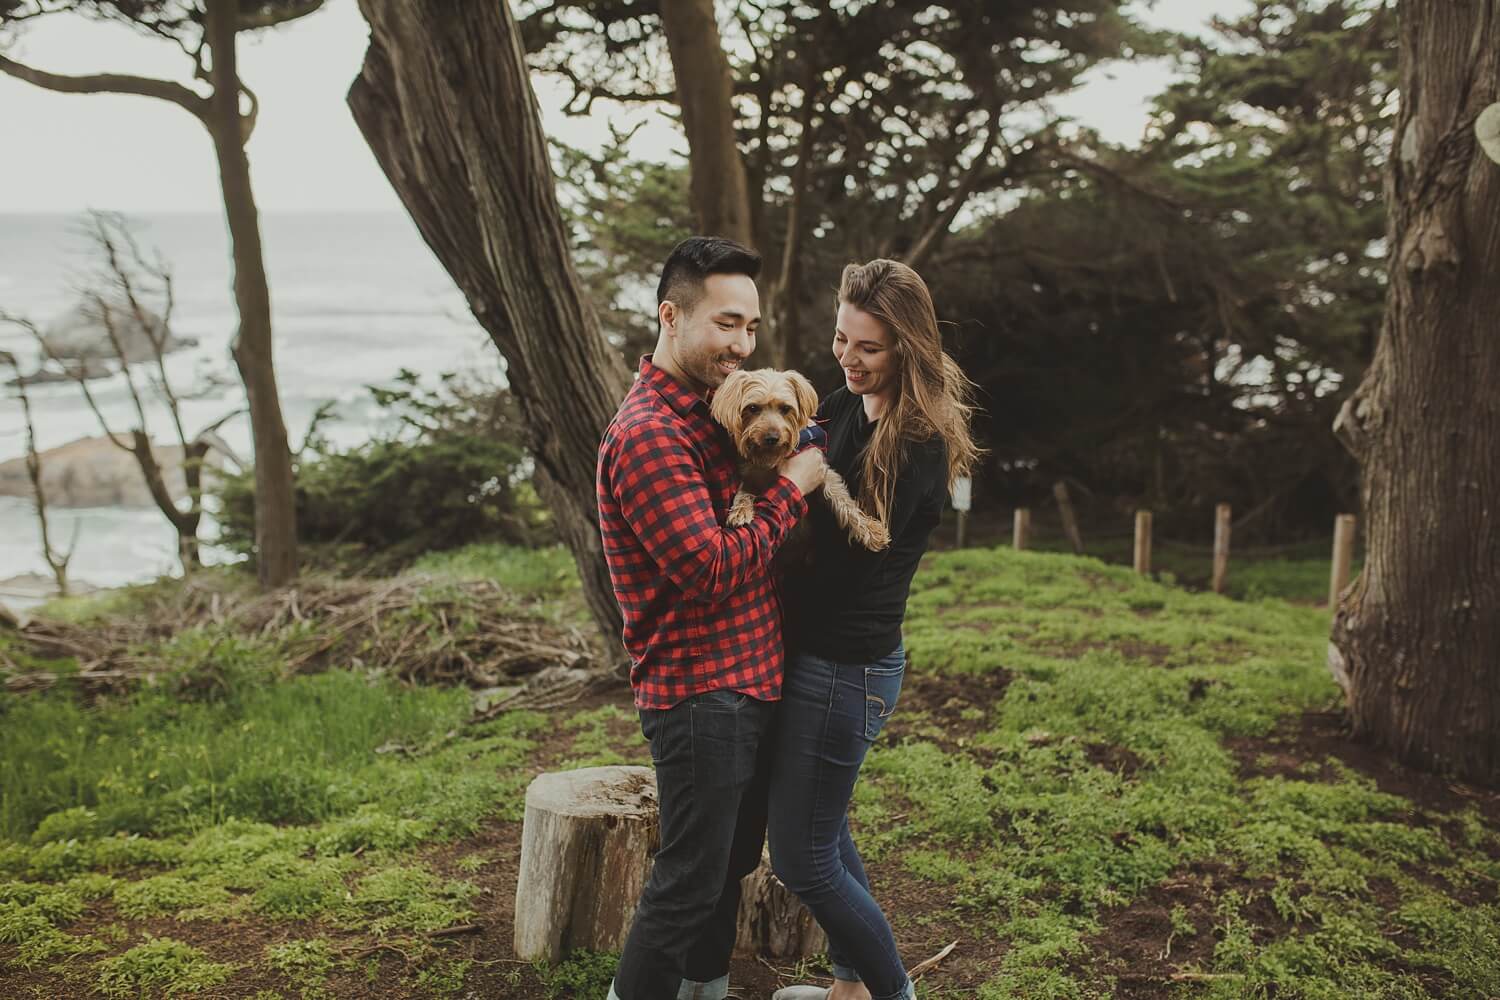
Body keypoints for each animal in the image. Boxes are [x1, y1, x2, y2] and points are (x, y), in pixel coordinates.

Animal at [708, 371, 882, 551]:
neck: (771, 458)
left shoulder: (822, 469)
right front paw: (740, 511)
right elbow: (743, 492)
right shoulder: (751, 475)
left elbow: (841, 499)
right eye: (753, 408)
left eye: (785, 408)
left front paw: (870, 530)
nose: (772, 438)